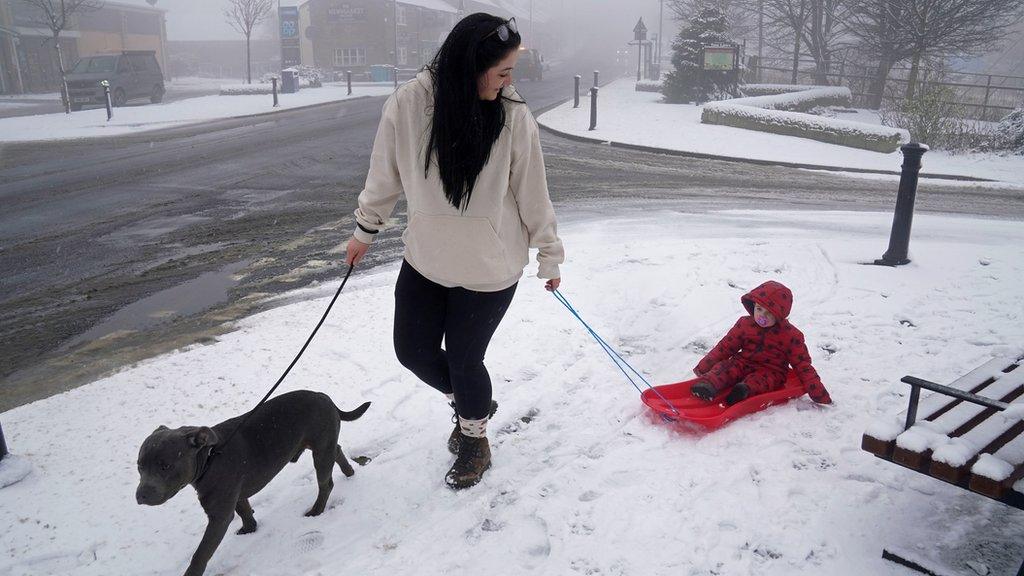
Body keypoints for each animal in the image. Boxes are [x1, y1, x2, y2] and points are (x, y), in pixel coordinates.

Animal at [136, 387, 372, 569]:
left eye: (165, 466)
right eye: (139, 466)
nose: (140, 496)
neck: (209, 458)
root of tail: (324, 396)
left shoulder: (219, 516)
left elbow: (200, 554)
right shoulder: (236, 495)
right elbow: (244, 510)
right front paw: (250, 528)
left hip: (321, 453)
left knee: (326, 483)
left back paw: (317, 510)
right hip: (324, 446)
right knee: (338, 450)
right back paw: (349, 473)